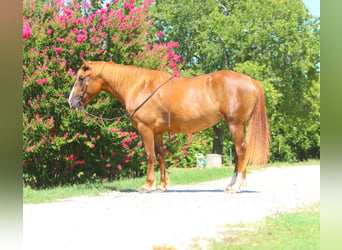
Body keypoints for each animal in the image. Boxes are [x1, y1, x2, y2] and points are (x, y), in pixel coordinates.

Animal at [68, 58, 270, 193]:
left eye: (81, 78)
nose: (70, 102)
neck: (139, 86)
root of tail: (251, 81)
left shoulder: (145, 129)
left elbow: (149, 156)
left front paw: (147, 185)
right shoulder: (157, 132)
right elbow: (160, 156)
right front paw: (162, 185)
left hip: (236, 125)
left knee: (241, 150)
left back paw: (236, 186)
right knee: (237, 152)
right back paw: (230, 185)